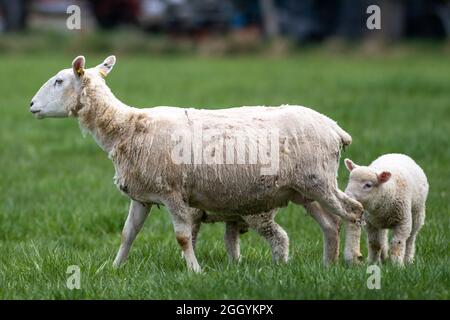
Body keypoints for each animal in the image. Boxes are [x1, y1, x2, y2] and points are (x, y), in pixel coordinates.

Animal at [29, 55, 364, 272]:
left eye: (59, 81)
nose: (31, 105)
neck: (127, 128)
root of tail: (335, 128)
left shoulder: (173, 192)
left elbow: (181, 236)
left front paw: (195, 271)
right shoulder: (142, 196)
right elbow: (128, 233)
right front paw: (113, 268)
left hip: (319, 181)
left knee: (353, 211)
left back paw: (352, 259)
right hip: (304, 190)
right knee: (330, 224)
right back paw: (328, 265)